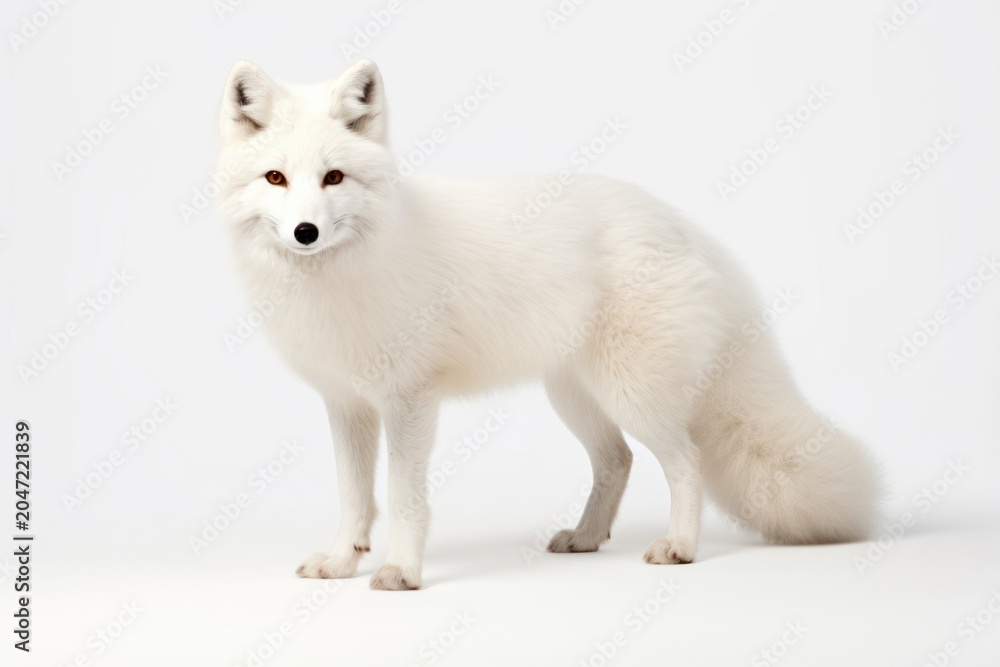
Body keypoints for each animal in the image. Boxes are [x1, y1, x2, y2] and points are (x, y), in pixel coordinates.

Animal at [215, 59, 880, 590]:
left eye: (334, 178)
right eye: (276, 178)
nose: (305, 232)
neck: (342, 278)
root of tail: (679, 223)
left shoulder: (409, 400)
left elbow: (403, 500)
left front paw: (401, 571)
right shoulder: (348, 404)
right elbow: (355, 500)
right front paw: (341, 563)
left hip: (632, 394)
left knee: (685, 461)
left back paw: (680, 548)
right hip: (574, 397)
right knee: (617, 461)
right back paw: (586, 538)